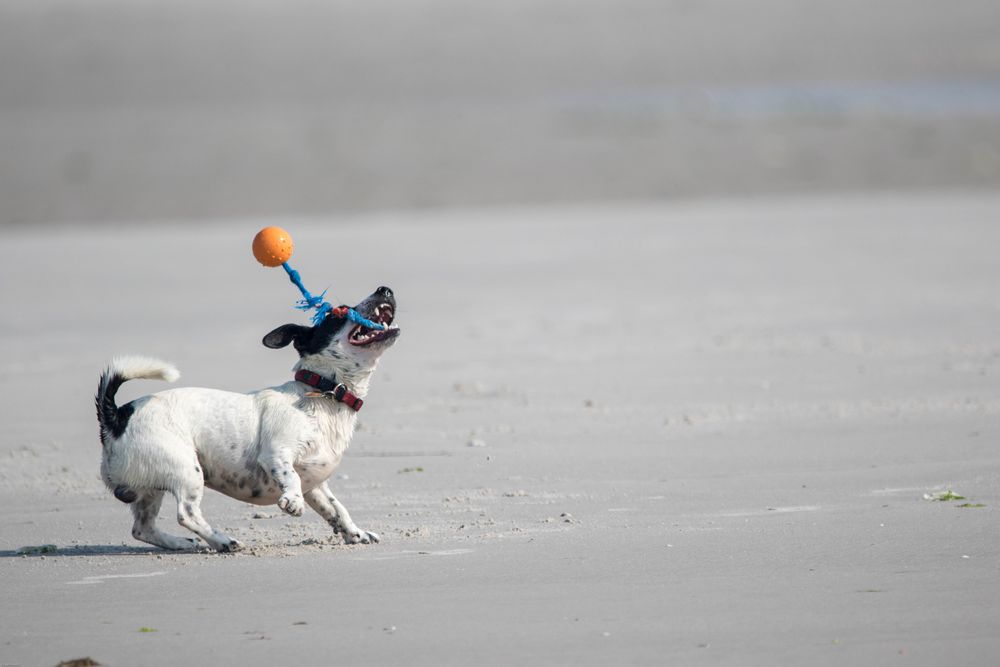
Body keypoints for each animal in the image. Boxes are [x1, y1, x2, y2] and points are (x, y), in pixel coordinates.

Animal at [94, 284, 398, 552]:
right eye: (340, 312)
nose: (384, 289)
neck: (325, 394)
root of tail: (116, 416)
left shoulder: (316, 485)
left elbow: (337, 509)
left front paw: (356, 534)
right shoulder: (276, 454)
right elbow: (291, 477)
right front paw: (292, 501)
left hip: (150, 486)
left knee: (142, 528)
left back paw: (182, 544)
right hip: (185, 469)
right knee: (187, 514)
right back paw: (223, 541)